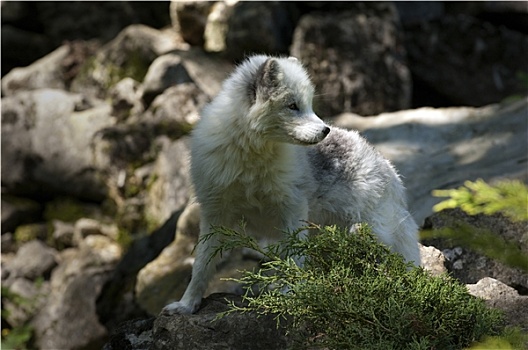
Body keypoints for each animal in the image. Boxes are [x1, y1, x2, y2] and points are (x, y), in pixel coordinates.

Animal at [162, 55, 420, 314]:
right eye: (292, 106)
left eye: (309, 104)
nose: (325, 131)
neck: (252, 156)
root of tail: (388, 167)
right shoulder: (214, 214)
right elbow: (201, 266)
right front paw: (187, 304)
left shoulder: (293, 210)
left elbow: (295, 256)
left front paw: (292, 293)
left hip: (372, 232)